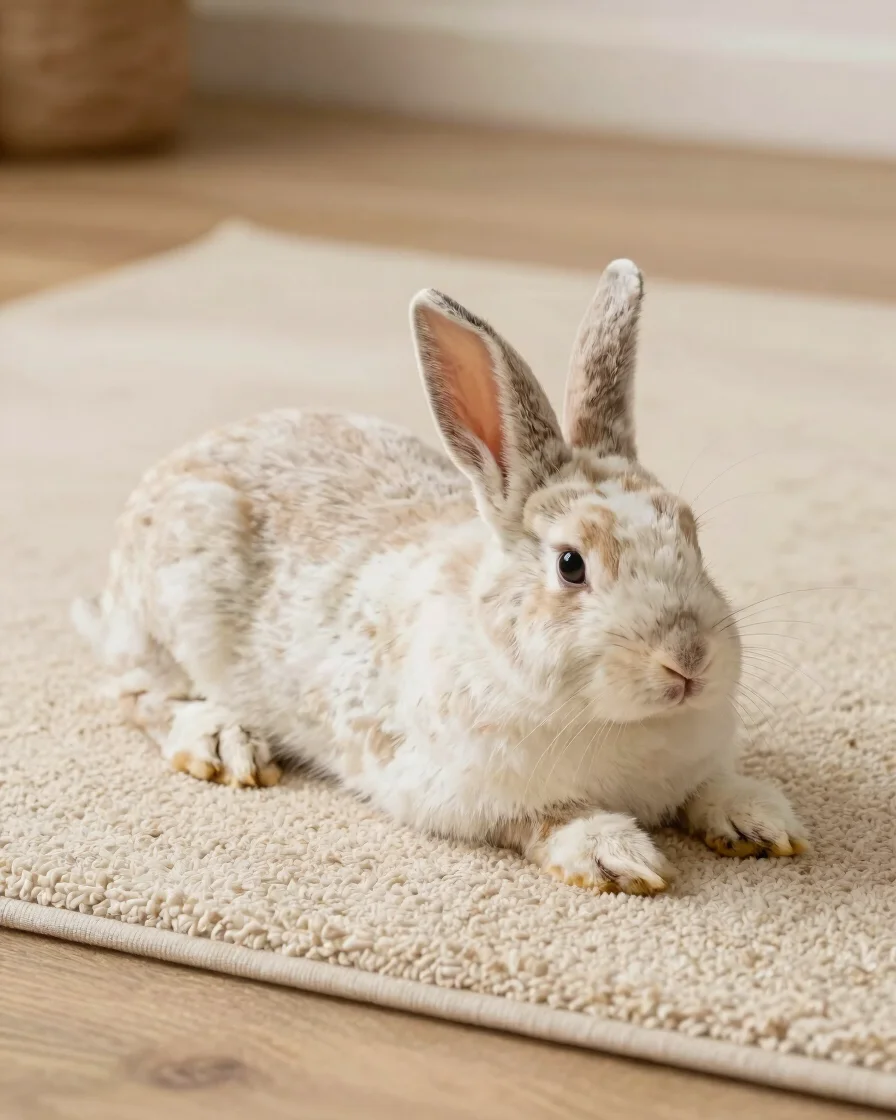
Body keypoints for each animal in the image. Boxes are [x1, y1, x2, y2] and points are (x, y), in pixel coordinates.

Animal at [73, 258, 807, 895]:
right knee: (138, 692)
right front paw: (614, 856)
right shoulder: (458, 793)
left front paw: (761, 822)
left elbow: (711, 788)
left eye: (691, 532)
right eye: (571, 565)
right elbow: (547, 819)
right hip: (173, 617)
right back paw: (222, 742)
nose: (688, 659)